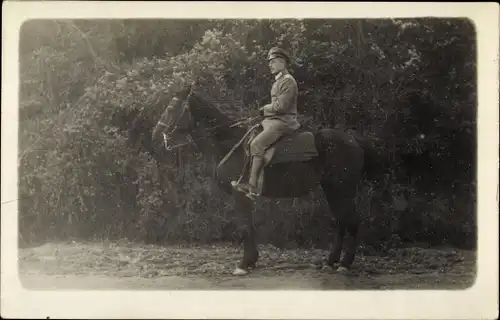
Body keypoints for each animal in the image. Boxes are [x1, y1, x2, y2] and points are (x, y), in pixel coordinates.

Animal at [152, 86, 372, 276]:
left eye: (170, 108)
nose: (155, 134)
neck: (229, 143)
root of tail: (353, 140)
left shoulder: (239, 194)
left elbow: (245, 227)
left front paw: (244, 264)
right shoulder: (244, 197)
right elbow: (249, 227)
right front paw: (251, 262)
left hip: (342, 189)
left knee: (351, 221)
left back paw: (344, 264)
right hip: (332, 190)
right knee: (341, 221)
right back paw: (330, 261)